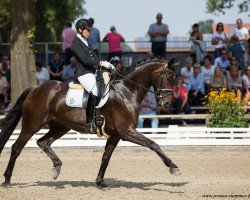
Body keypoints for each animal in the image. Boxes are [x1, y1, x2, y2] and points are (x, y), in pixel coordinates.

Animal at [0, 58, 180, 187]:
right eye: (168, 77)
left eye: (174, 78)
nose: (167, 104)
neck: (126, 91)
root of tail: (35, 88)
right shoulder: (127, 132)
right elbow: (153, 144)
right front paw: (173, 167)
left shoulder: (115, 135)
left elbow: (106, 157)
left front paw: (100, 182)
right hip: (31, 125)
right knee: (16, 147)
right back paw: (7, 180)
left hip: (61, 127)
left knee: (43, 142)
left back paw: (56, 168)